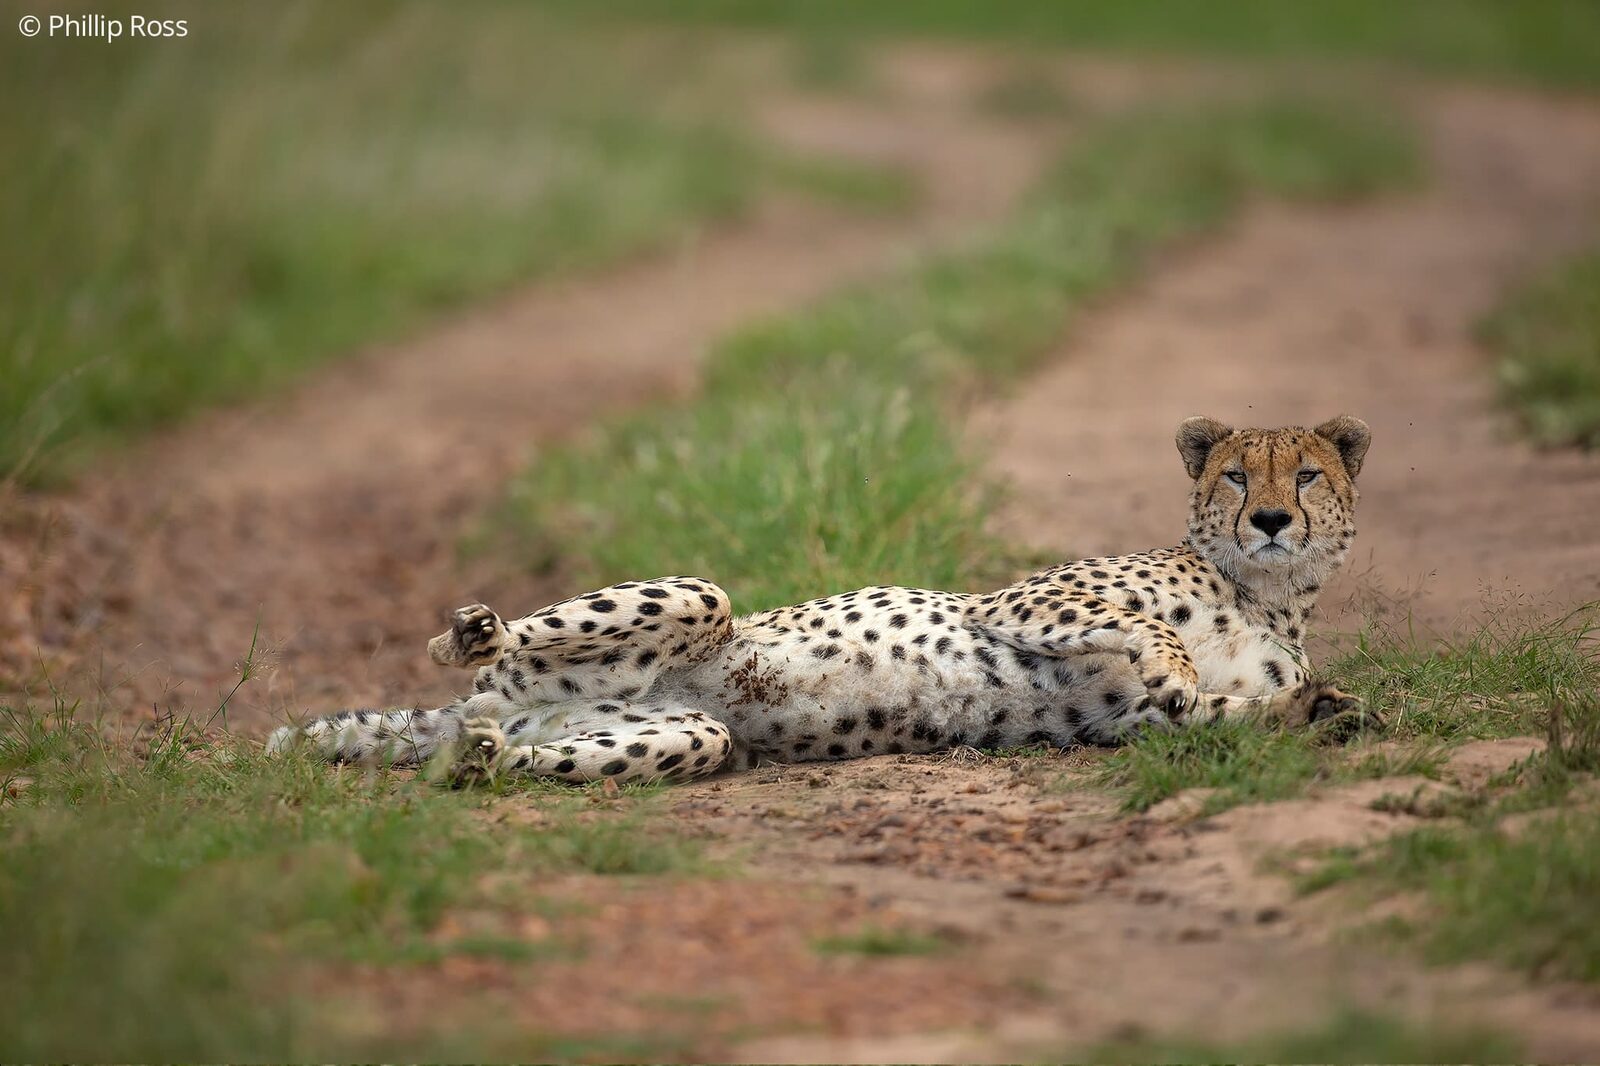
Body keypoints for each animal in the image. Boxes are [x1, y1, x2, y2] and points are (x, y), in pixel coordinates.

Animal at [268, 414, 1378, 786]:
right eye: (1236, 474)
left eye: (1306, 475)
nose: (1270, 518)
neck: (1264, 592)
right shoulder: (1022, 603)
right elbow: (1149, 633)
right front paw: (1183, 659)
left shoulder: (1149, 719)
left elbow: (1234, 706)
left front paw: (1328, 709)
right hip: (695, 595)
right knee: (492, 648)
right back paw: (470, 634)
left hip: (684, 737)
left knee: (505, 756)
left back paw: (481, 753)